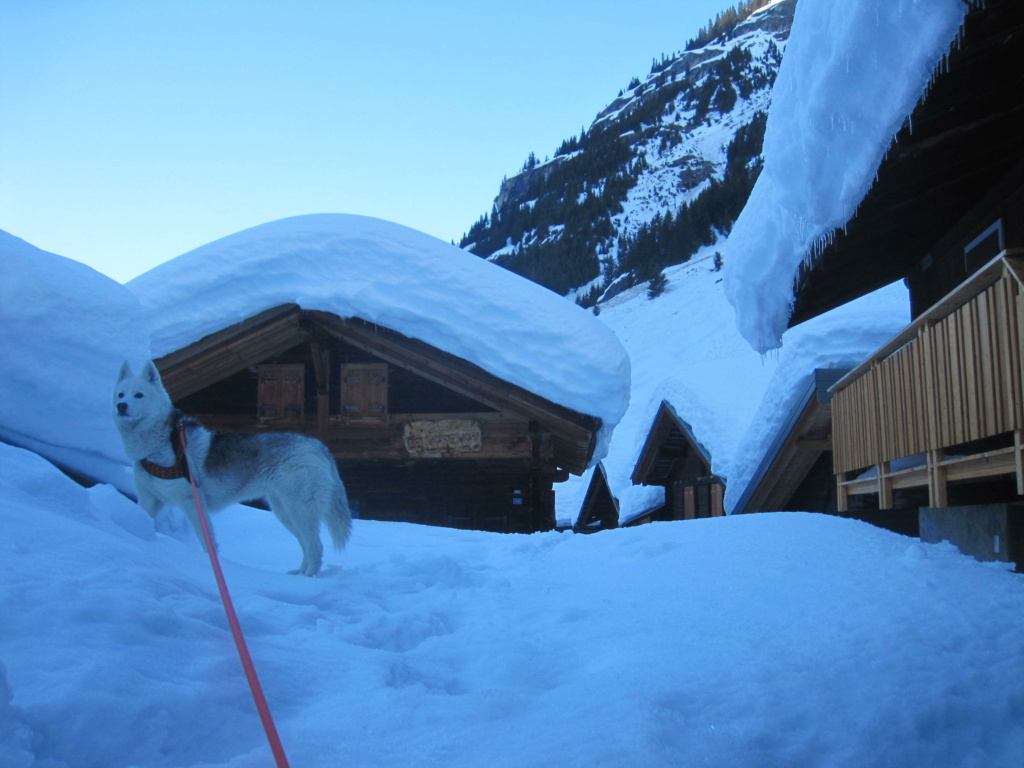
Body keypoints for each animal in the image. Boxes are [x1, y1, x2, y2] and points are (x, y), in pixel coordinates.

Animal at [111, 362, 352, 577]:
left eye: (139, 395)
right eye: (121, 395)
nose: (121, 406)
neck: (160, 445)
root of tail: (318, 445)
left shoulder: (192, 503)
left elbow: (207, 543)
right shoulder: (149, 500)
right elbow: (139, 518)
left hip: (299, 510)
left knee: (315, 547)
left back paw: (309, 580)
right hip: (284, 511)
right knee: (305, 546)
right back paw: (298, 575)